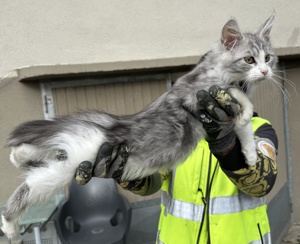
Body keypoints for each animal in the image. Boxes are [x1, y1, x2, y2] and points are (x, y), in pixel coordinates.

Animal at [0, 13, 276, 238]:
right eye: (249, 59)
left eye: (268, 58)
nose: (265, 71)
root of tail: (111, 126)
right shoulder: (201, 93)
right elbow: (239, 100)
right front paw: (245, 115)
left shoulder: (222, 111)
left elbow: (243, 130)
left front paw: (250, 156)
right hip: (70, 165)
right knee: (27, 187)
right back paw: (9, 225)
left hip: (68, 160)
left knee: (44, 155)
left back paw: (18, 156)